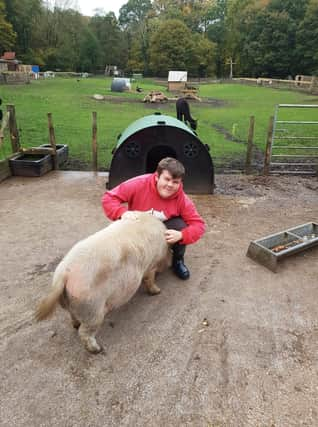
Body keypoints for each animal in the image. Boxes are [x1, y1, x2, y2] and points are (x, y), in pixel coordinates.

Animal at [35, 211, 171, 354]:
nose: (170, 262)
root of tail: (64, 275)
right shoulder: (152, 265)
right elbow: (150, 279)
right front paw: (158, 291)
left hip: (74, 304)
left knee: (73, 317)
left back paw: (76, 326)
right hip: (92, 308)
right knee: (85, 332)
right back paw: (97, 349)